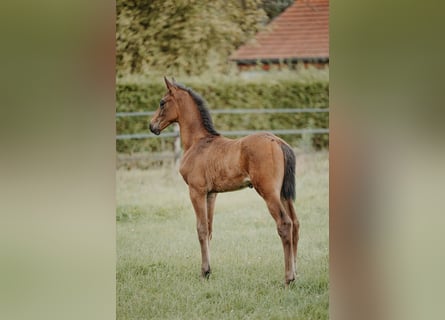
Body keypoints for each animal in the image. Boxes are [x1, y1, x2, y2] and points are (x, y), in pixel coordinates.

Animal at [149, 77, 298, 284]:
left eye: (162, 102)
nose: (151, 126)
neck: (198, 142)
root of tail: (278, 141)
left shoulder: (196, 191)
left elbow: (201, 229)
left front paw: (204, 271)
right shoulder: (211, 194)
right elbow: (210, 229)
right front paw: (209, 270)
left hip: (269, 192)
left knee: (285, 224)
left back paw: (288, 278)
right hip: (284, 193)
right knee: (296, 224)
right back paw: (296, 271)